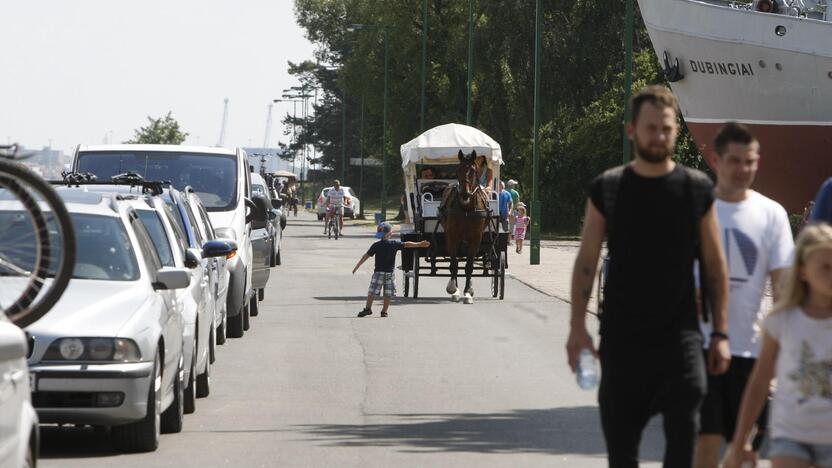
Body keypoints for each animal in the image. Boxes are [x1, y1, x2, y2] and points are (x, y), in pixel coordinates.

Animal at [438, 150, 490, 304]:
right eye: (457, 170)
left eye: (473, 171)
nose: (464, 194)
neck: (466, 209)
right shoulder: (452, 236)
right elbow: (454, 264)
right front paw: (453, 290)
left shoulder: (476, 238)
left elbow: (469, 266)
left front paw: (468, 292)